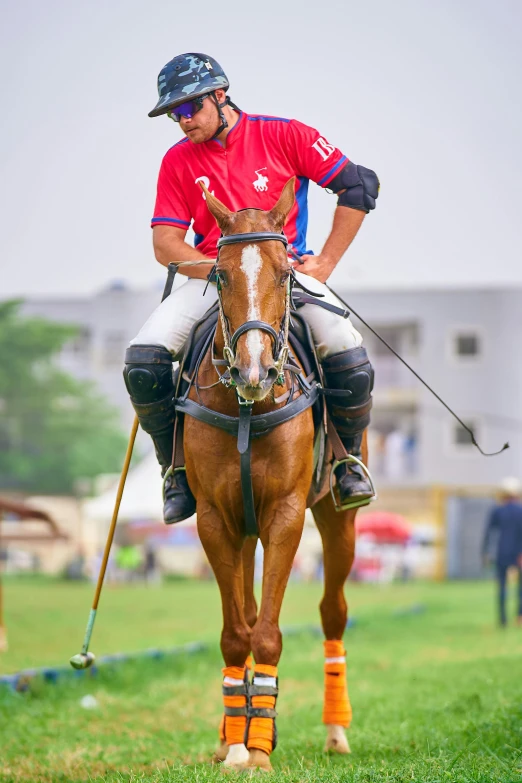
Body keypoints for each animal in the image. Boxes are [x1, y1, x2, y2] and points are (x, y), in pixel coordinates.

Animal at [184, 178, 366, 772]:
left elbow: (266, 633)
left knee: (333, 611)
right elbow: (234, 633)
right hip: (242, 530)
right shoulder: (215, 520)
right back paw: (229, 733)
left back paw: (335, 732)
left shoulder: (285, 513)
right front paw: (239, 744)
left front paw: (260, 751)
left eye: (287, 271)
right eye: (219, 274)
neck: (247, 407)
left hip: (335, 515)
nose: (255, 369)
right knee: (243, 607)